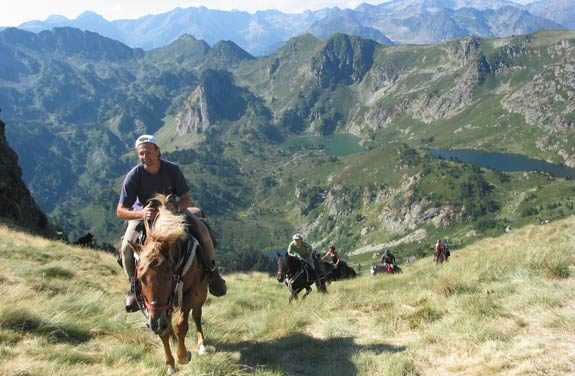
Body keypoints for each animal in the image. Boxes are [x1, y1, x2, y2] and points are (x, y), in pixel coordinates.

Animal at [129, 198, 210, 374]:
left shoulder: (190, 291)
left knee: (197, 314)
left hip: (201, 290)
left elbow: (182, 325)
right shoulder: (156, 310)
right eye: (140, 278)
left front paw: (183, 355)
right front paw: (170, 363)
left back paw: (202, 345)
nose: (156, 324)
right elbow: (164, 331)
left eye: (168, 277)